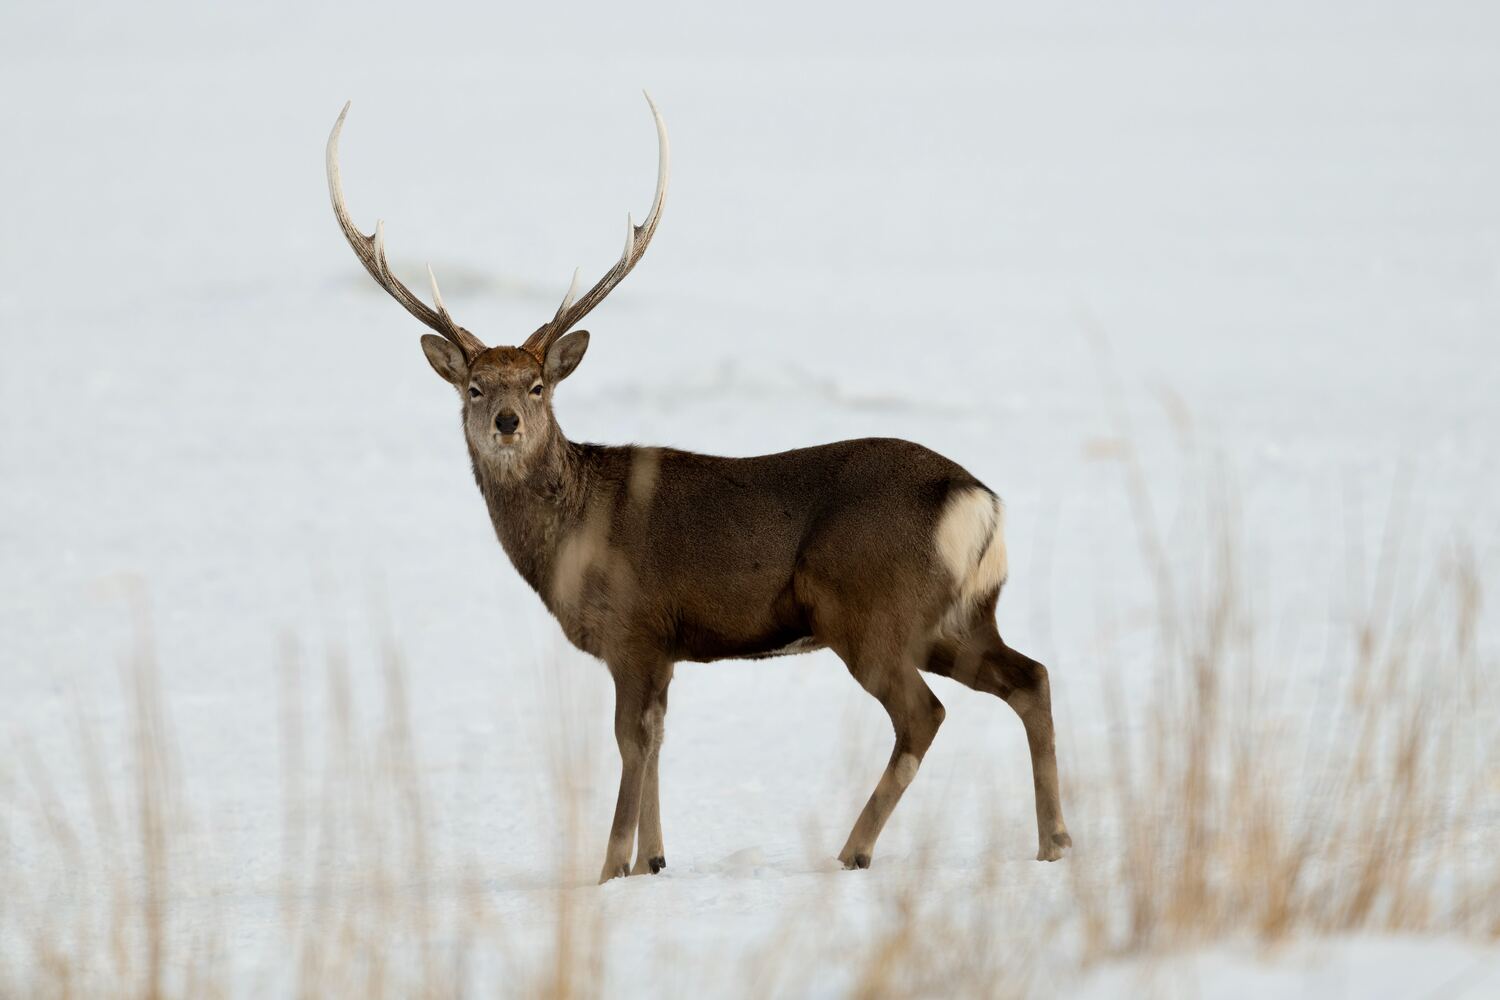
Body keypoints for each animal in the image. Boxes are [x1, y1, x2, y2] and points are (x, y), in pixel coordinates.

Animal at [325, 94, 1070, 882]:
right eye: (473, 385)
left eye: (536, 384)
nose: (505, 421)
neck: (569, 537)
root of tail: (978, 500)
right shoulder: (666, 649)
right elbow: (656, 741)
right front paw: (654, 860)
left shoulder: (634, 627)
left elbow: (630, 743)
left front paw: (610, 868)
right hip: (958, 616)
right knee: (1031, 677)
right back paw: (1054, 841)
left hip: (872, 611)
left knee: (924, 715)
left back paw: (855, 849)